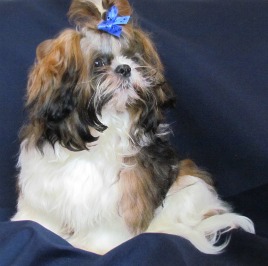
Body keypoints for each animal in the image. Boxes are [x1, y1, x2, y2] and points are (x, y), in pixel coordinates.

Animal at [12, 0, 255, 254]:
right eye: (98, 63)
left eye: (133, 58)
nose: (125, 68)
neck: (104, 125)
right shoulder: (46, 181)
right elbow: (43, 214)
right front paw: (32, 223)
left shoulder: (123, 191)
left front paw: (96, 246)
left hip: (190, 184)